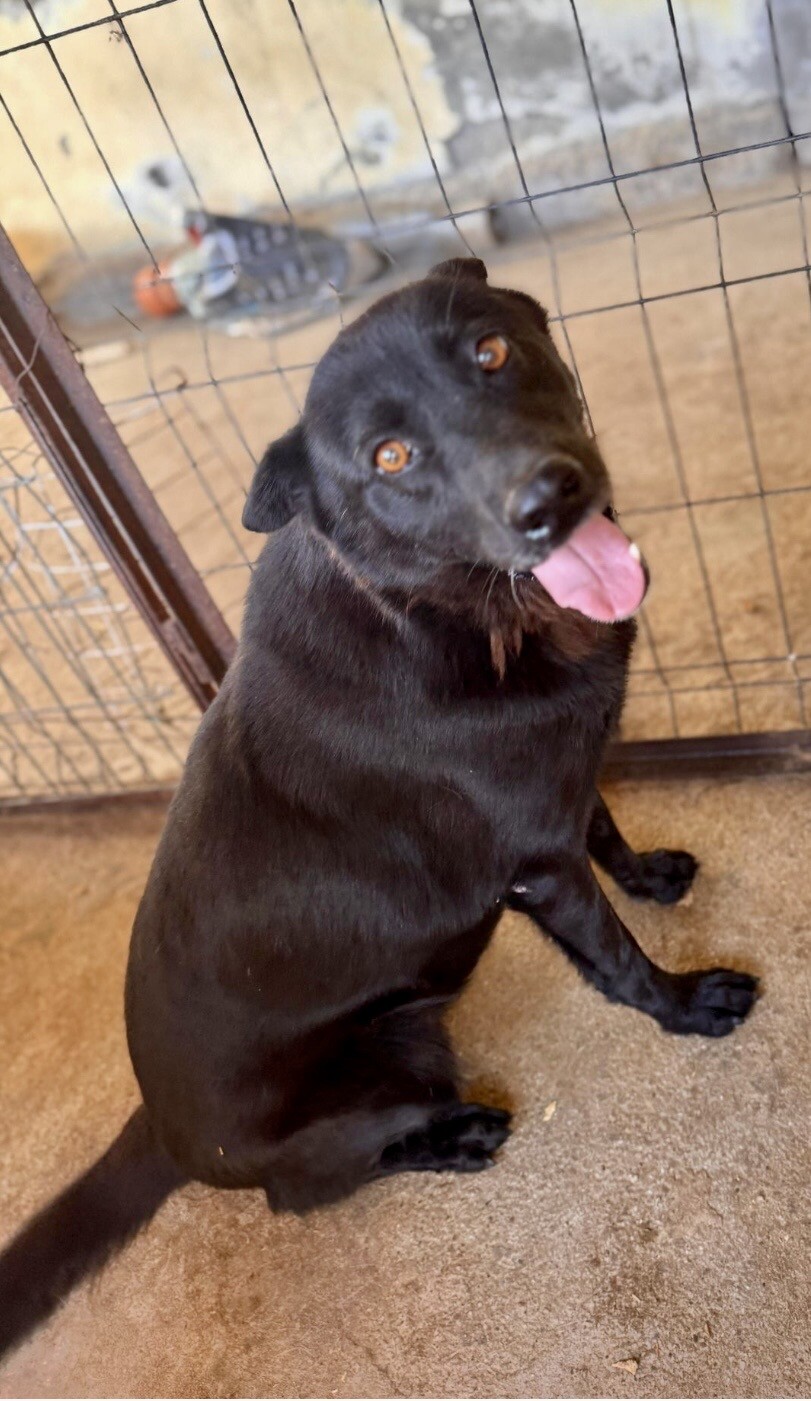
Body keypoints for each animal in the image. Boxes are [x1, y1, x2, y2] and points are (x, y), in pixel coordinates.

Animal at [0, 258, 758, 1358]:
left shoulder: (554, 797)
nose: (548, 500)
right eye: (388, 456)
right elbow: (616, 960)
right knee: (312, 1186)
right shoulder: (538, 866)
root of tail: (162, 1129)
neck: (453, 613)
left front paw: (652, 873)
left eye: (490, 349)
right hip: (397, 1058)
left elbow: (605, 823)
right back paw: (459, 1137)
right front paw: (688, 1006)